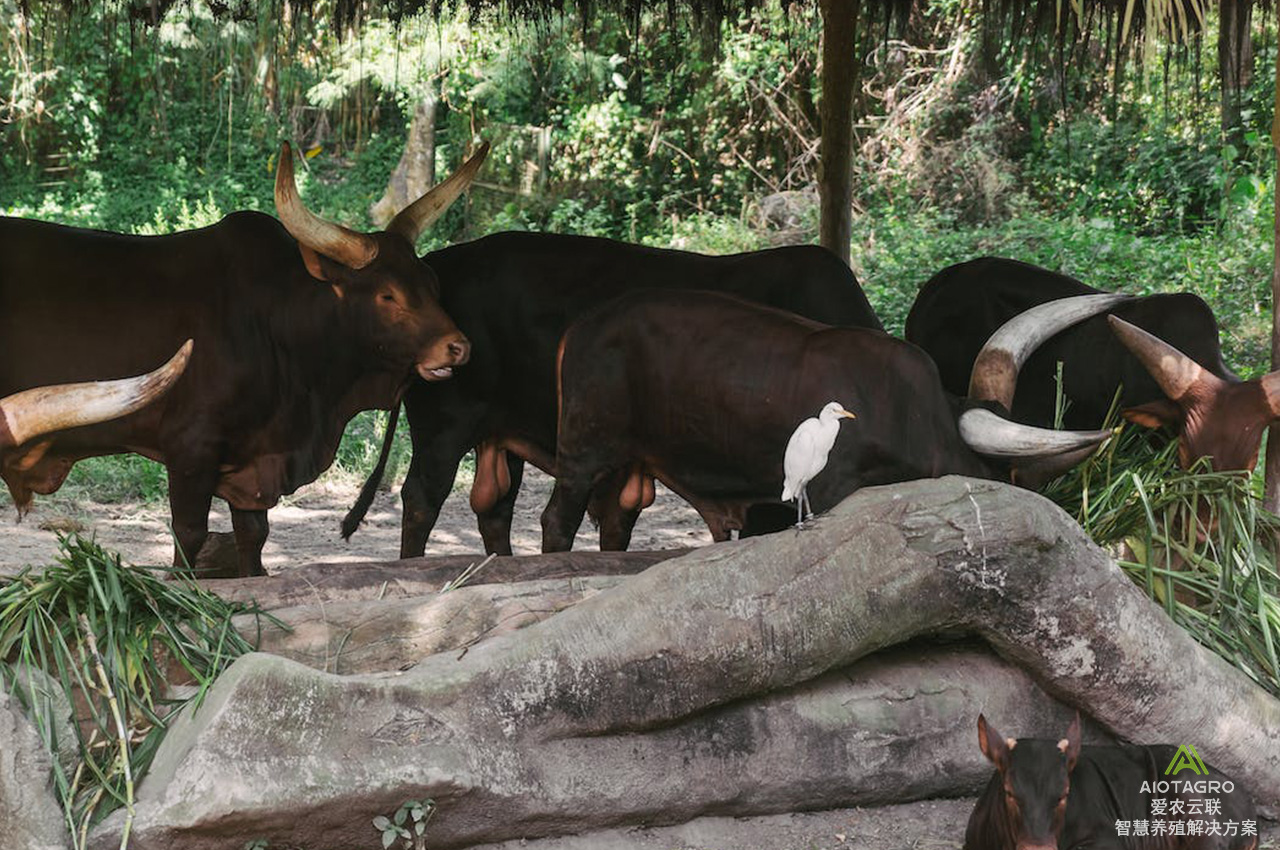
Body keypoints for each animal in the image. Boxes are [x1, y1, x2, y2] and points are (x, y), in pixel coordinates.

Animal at [0, 144, 486, 578]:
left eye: (431, 282)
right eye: (388, 295)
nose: (458, 347)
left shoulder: (253, 465)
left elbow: (253, 536)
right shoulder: (191, 449)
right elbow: (188, 536)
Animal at [540, 289, 1121, 547]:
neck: (916, 415)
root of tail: (583, 324)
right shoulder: (831, 486)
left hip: (623, 464)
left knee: (615, 523)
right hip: (583, 453)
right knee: (558, 520)